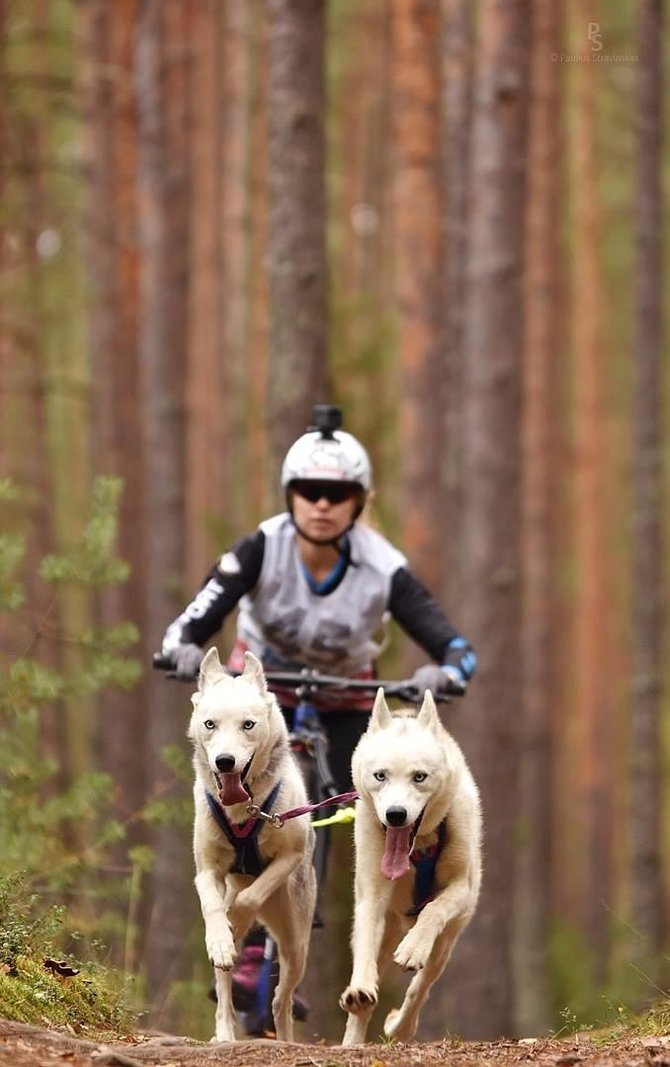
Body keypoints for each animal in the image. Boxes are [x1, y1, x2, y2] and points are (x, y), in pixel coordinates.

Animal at [186, 644, 315, 1037]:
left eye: (248, 724)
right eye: (210, 724)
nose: (225, 761)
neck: (245, 810)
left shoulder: (290, 855)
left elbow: (251, 896)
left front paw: (238, 920)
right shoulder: (207, 871)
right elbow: (212, 907)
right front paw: (222, 935)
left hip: (295, 946)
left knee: (280, 1000)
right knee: (225, 989)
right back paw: (224, 1032)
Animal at [339, 682, 482, 1041]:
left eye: (420, 776)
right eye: (380, 776)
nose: (395, 814)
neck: (420, 846)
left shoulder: (460, 888)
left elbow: (434, 910)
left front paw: (413, 947)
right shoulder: (371, 892)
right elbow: (365, 936)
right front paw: (360, 988)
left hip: (444, 945)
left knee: (420, 989)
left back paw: (400, 1026)